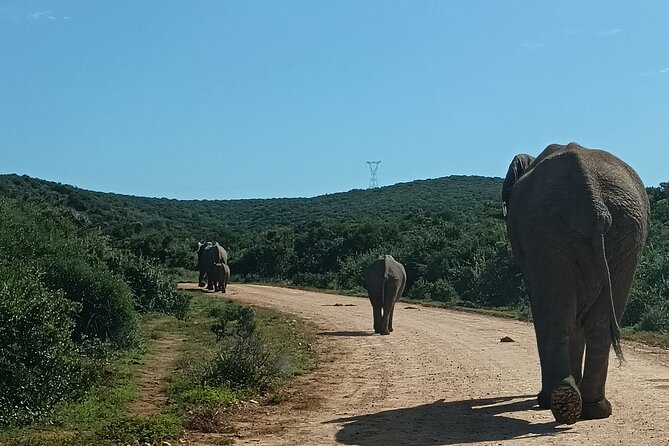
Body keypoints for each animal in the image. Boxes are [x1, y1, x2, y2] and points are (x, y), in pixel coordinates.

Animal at [502, 142, 649, 424]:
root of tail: (594, 202)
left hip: (554, 227)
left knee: (557, 315)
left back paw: (561, 402)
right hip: (623, 232)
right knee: (592, 322)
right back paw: (587, 407)